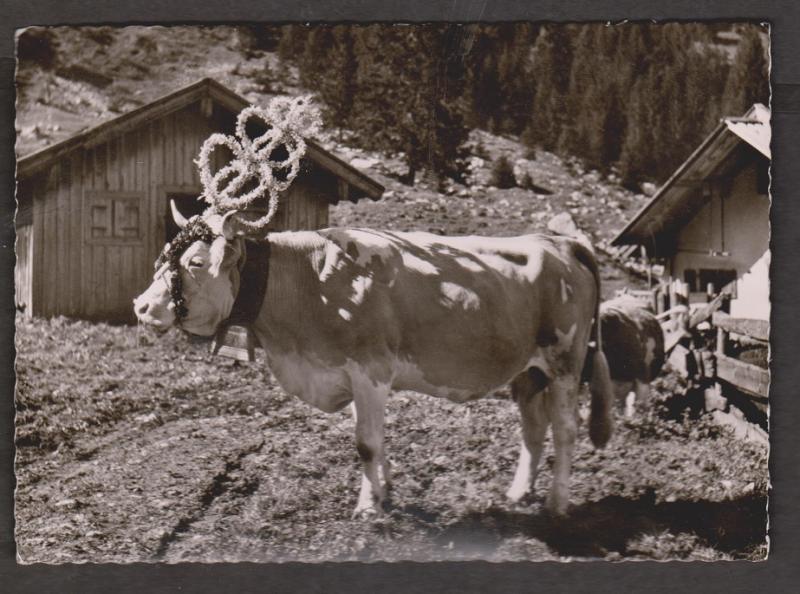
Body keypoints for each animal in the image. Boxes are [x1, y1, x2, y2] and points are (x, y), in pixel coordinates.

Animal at [136, 207, 612, 512]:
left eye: (196, 262)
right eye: (165, 255)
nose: (141, 306)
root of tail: (559, 241)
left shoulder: (371, 369)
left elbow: (366, 443)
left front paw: (368, 507)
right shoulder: (351, 373)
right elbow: (374, 441)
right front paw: (384, 493)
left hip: (566, 360)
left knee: (565, 430)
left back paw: (557, 504)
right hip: (528, 370)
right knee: (533, 428)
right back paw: (518, 494)